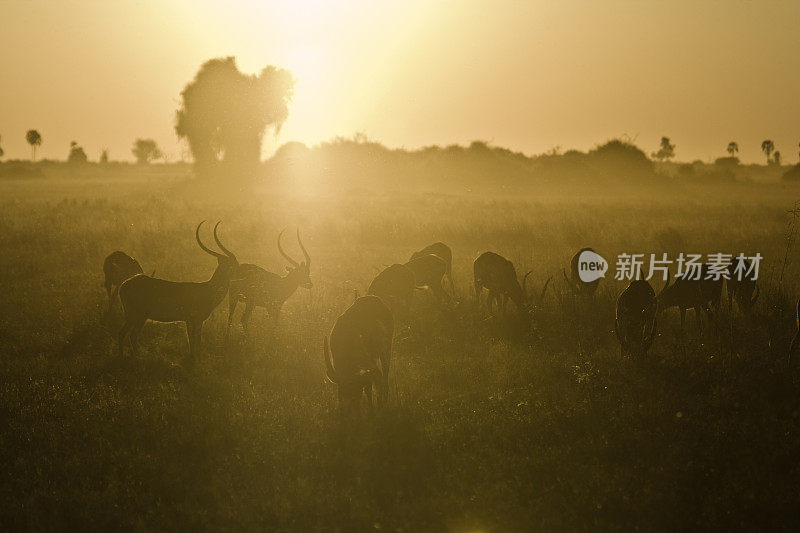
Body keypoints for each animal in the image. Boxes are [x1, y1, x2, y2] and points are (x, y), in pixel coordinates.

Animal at [117, 220, 239, 362]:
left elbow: (195, 341)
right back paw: (133, 359)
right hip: (138, 315)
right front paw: (194, 361)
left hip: (135, 316)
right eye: (234, 265)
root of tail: (124, 284)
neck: (207, 289)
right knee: (129, 334)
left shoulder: (195, 321)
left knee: (125, 333)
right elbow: (194, 341)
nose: (242, 273)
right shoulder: (193, 319)